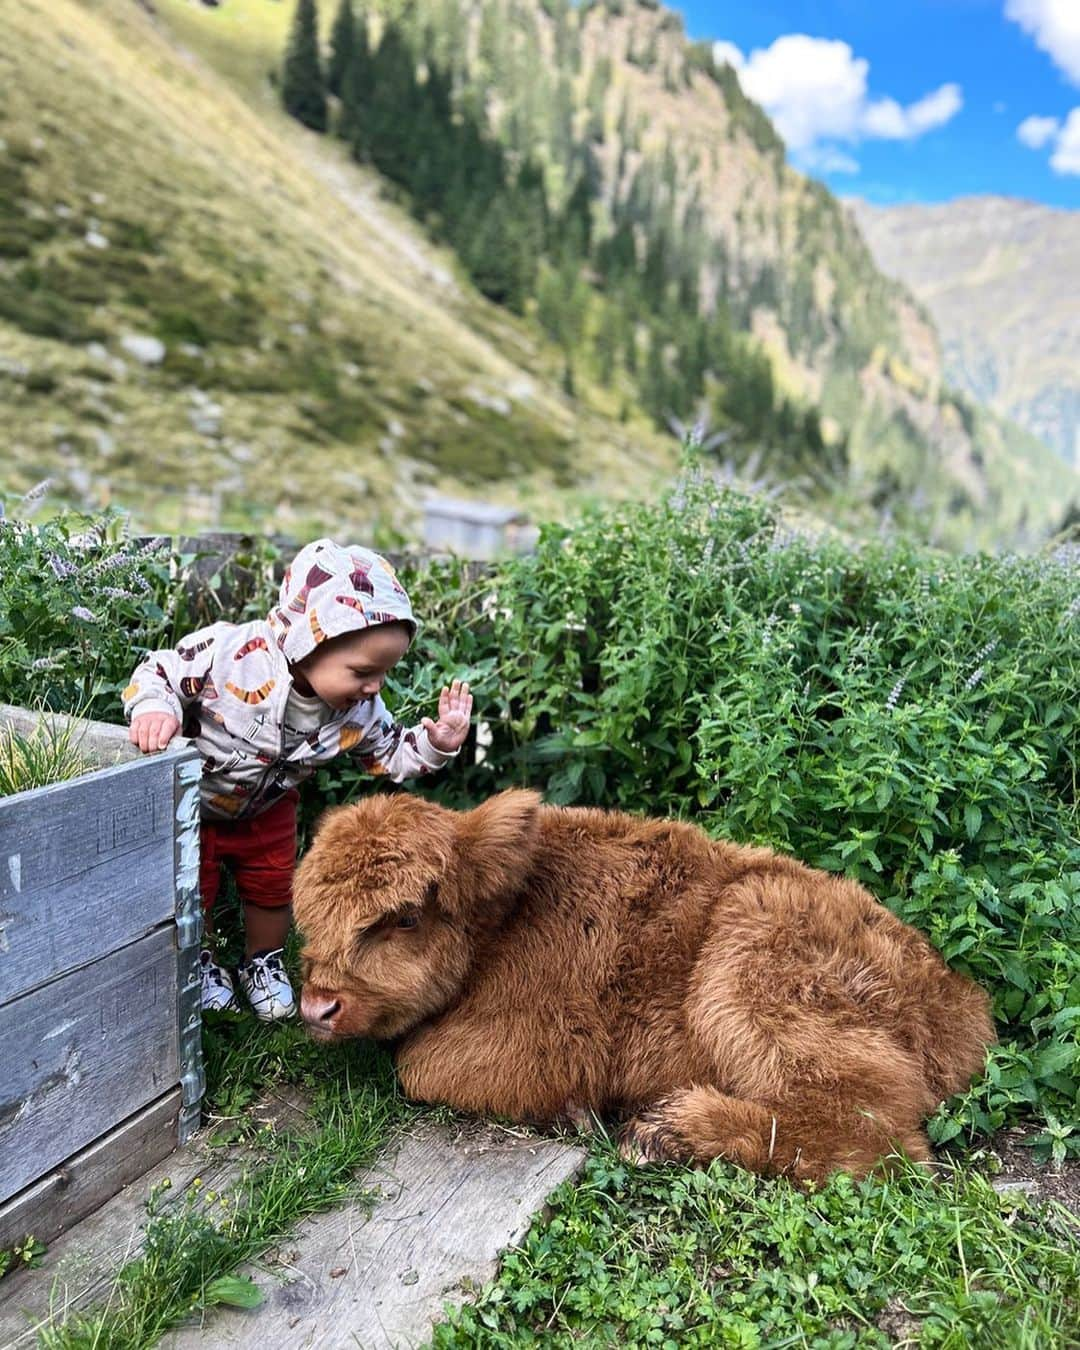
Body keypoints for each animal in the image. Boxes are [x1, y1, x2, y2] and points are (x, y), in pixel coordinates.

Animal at [295, 788, 993, 1182]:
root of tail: (957, 1002)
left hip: (747, 962)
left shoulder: (545, 1042)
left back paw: (663, 1133)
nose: (318, 1006)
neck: (509, 918)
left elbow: (417, 1066)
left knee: (876, 1136)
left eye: (406, 917)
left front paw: (576, 1114)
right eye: (311, 919)